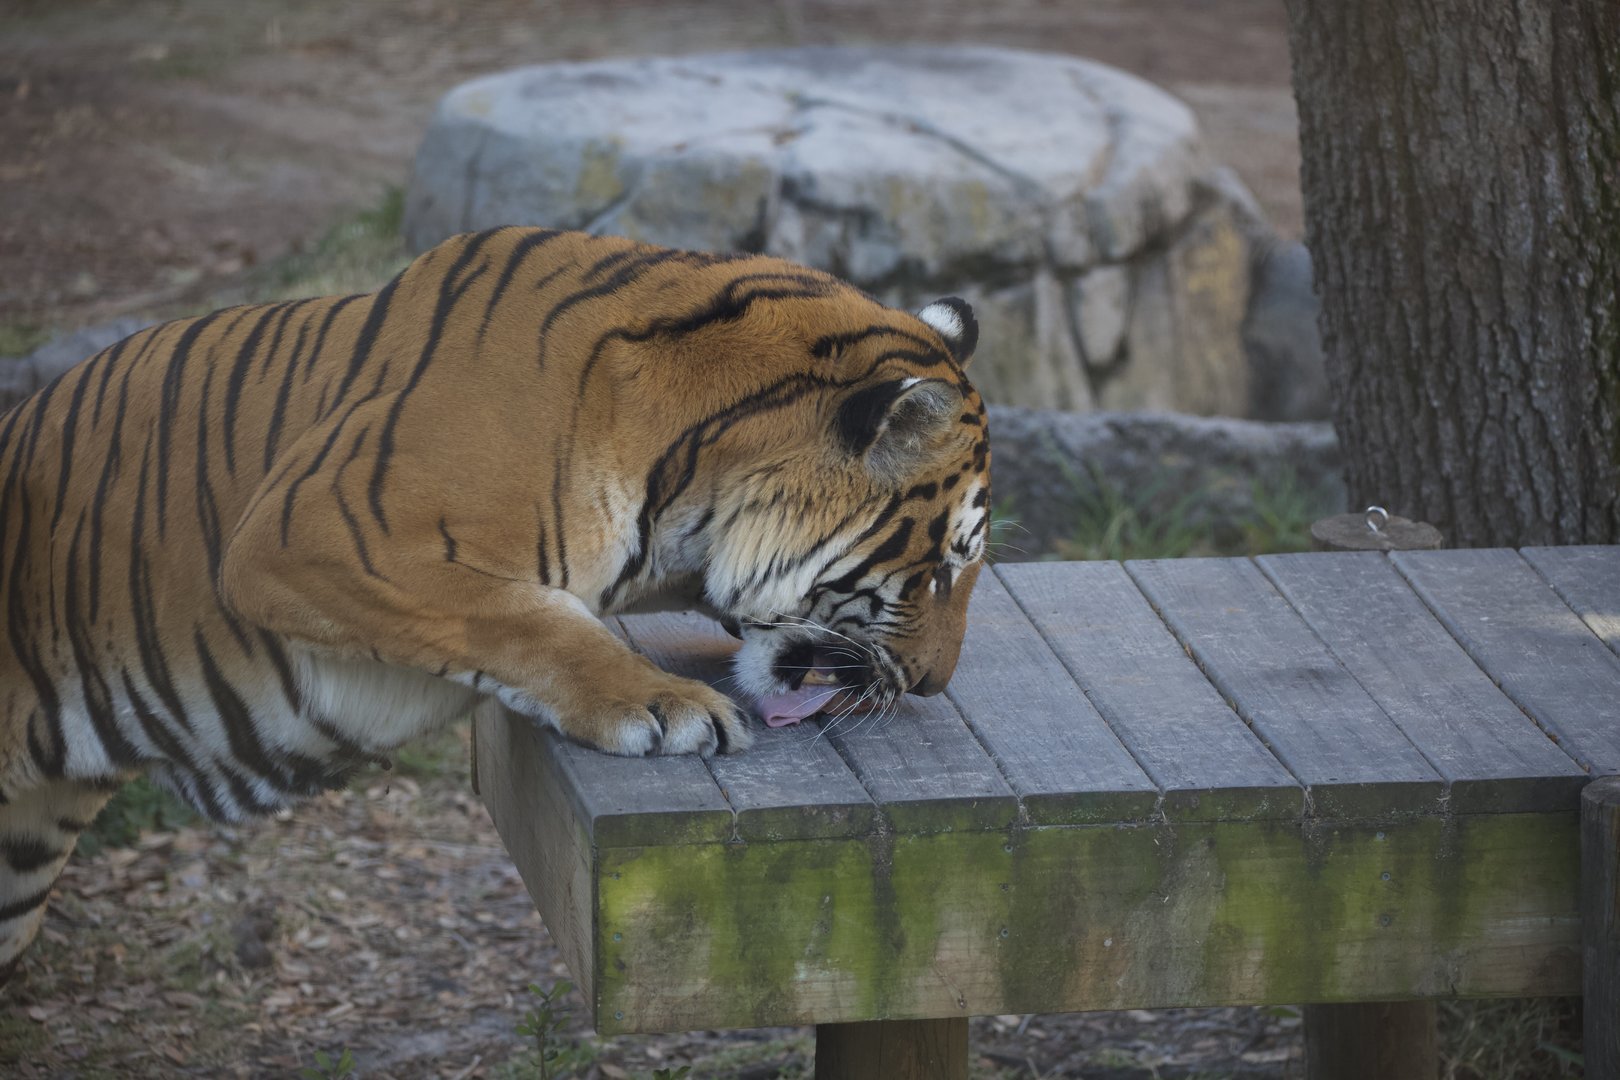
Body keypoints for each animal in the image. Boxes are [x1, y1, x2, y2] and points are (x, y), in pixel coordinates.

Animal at [0, 226, 991, 975]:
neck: (686, 470)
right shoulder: (317, 529)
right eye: (944, 566)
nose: (936, 684)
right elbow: (520, 615)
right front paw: (663, 707)